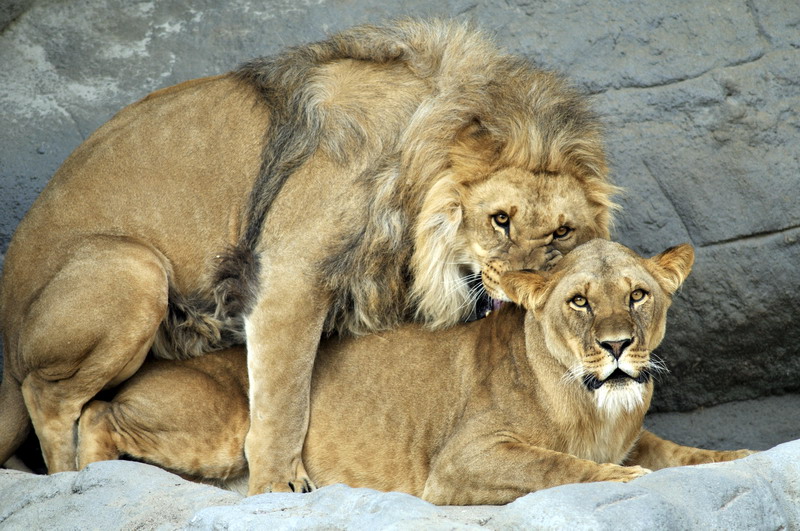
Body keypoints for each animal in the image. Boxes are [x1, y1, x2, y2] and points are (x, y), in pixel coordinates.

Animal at [0, 20, 617, 494]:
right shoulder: (290, 276)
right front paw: (279, 485)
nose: (526, 283)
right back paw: (73, 480)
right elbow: (285, 397)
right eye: (500, 219)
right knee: (49, 395)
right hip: (136, 269)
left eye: (563, 232)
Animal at [73, 240, 753, 504]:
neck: (596, 405)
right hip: (219, 424)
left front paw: (735, 457)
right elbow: (556, 465)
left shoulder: (638, 432)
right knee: (97, 411)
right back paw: (90, 472)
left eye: (638, 295)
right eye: (579, 301)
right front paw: (619, 475)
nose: (617, 347)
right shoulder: (460, 461)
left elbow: (684, 454)